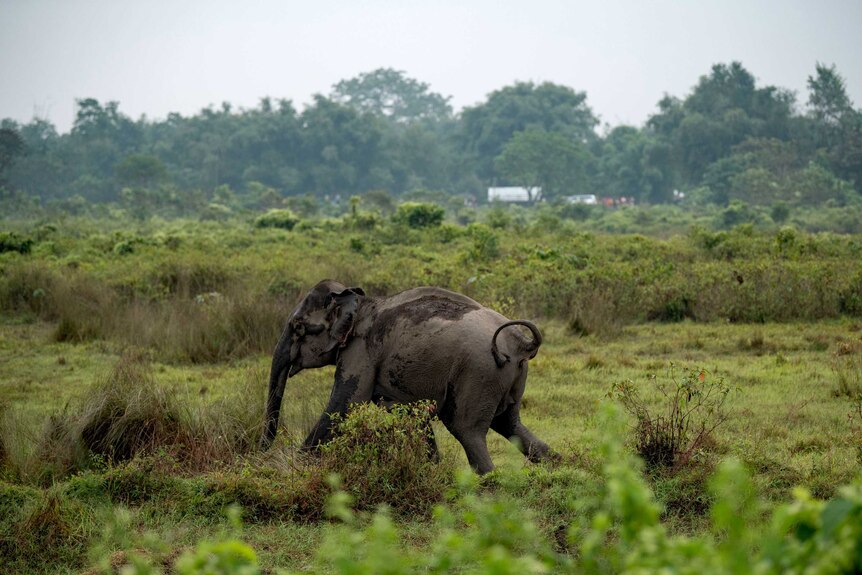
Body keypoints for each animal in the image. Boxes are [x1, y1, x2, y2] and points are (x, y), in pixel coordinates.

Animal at [262, 282, 552, 474]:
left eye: (298, 326)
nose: (263, 455)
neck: (360, 302)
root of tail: (521, 344)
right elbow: (410, 415)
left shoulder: (362, 350)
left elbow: (344, 405)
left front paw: (290, 469)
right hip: (506, 376)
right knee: (511, 425)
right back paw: (556, 468)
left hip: (478, 373)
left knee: (466, 430)